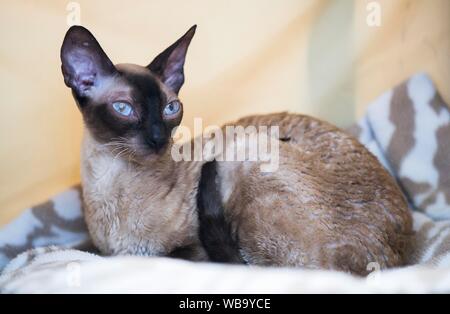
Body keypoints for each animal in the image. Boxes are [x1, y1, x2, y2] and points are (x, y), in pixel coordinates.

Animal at [61, 24, 414, 274]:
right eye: (124, 108)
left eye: (171, 108)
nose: (158, 138)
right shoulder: (105, 249)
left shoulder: (188, 250)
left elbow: (176, 255)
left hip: (245, 151)